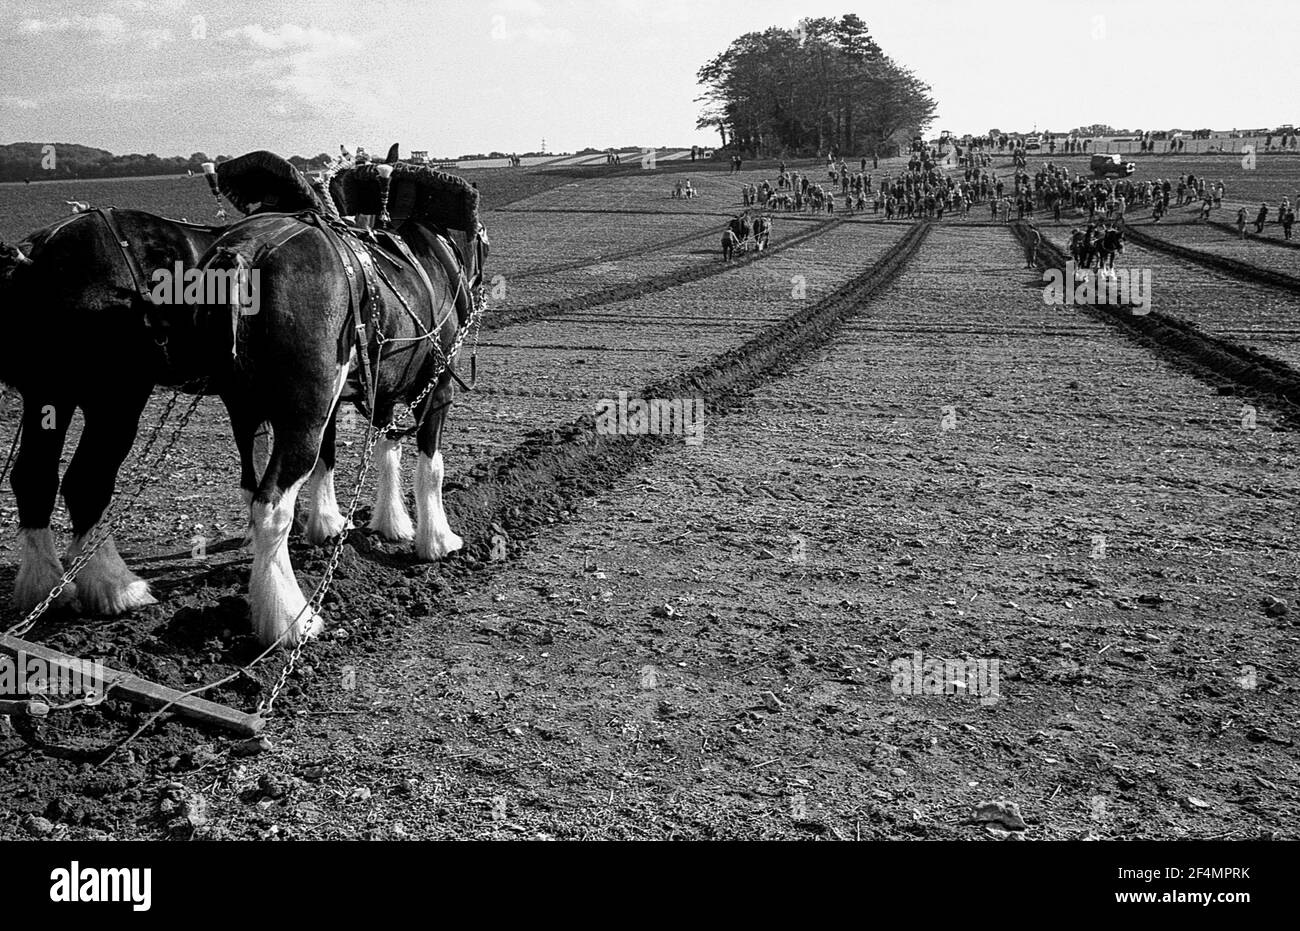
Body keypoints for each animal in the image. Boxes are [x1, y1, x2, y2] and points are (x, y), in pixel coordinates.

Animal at [200, 161, 488, 647]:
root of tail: (244, 252)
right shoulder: (436, 392)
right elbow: (430, 467)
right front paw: (436, 540)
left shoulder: (377, 393)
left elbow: (376, 453)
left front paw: (378, 523)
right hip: (303, 418)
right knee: (270, 507)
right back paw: (290, 619)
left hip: (246, 411)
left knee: (250, 488)